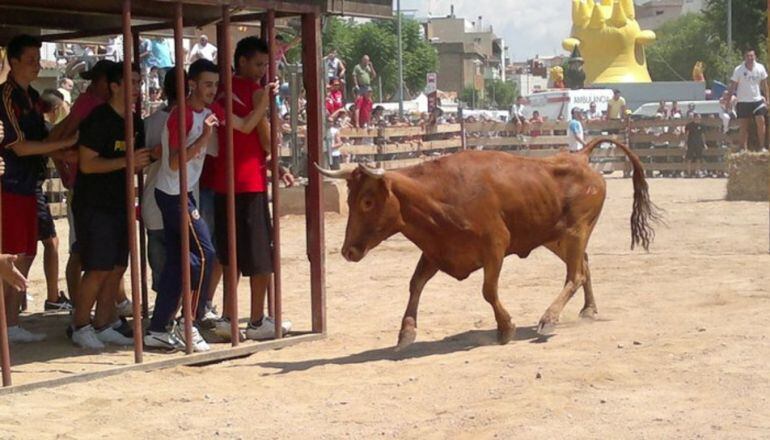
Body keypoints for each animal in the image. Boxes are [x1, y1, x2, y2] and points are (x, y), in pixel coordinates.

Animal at [318, 139, 660, 348]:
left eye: (367, 201)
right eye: (350, 199)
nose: (348, 251)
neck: (437, 195)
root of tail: (581, 157)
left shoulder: (495, 246)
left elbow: (488, 291)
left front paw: (505, 327)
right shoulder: (436, 250)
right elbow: (415, 284)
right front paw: (406, 332)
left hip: (576, 230)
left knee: (575, 274)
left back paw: (549, 319)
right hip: (555, 237)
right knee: (584, 266)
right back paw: (588, 310)